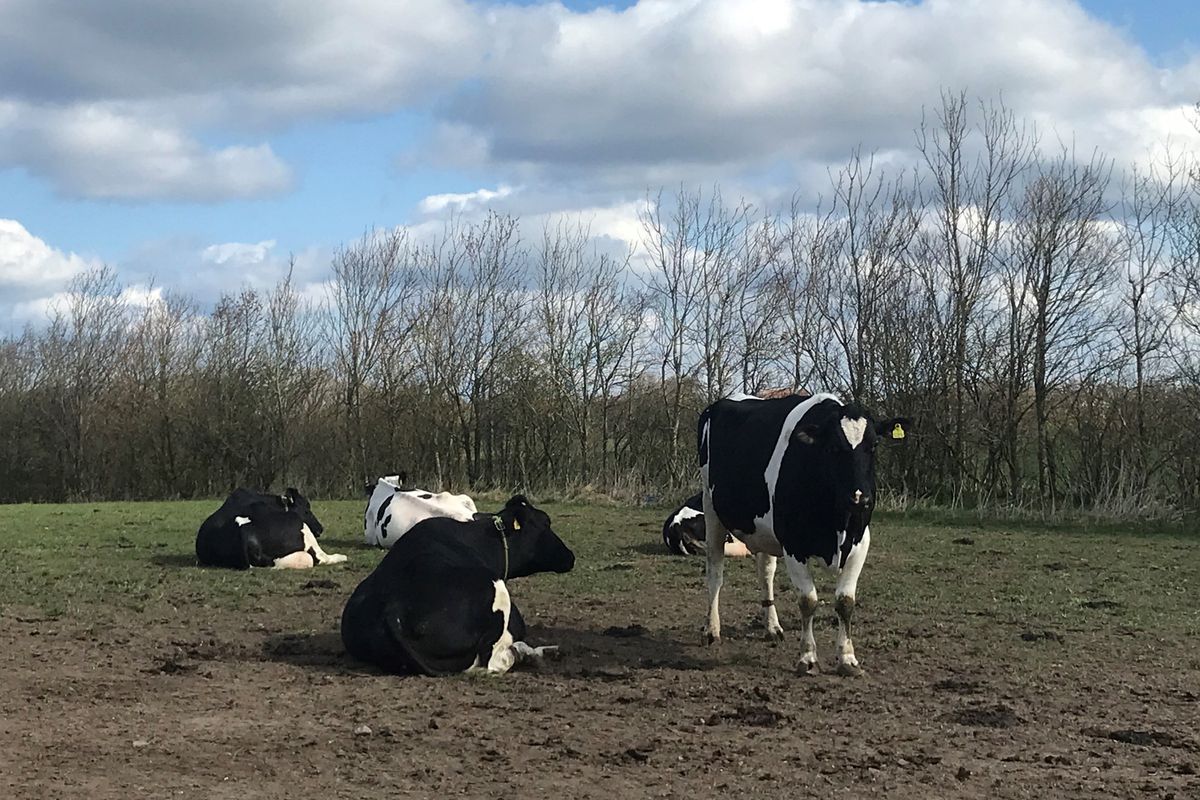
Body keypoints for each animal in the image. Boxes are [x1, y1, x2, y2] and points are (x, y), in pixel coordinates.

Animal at [195, 489, 348, 568]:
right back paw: (342, 556)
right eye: (306, 509)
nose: (320, 528)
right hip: (304, 531)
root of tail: (244, 531)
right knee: (322, 557)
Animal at [700, 393, 902, 676]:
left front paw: (848, 658)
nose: (860, 498)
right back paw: (712, 629)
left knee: (766, 572)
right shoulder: (793, 544)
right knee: (715, 572)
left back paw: (772, 627)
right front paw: (808, 658)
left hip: (764, 531)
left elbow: (845, 602)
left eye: (873, 445)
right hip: (711, 509)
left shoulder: (860, 542)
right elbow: (808, 601)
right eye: (833, 448)